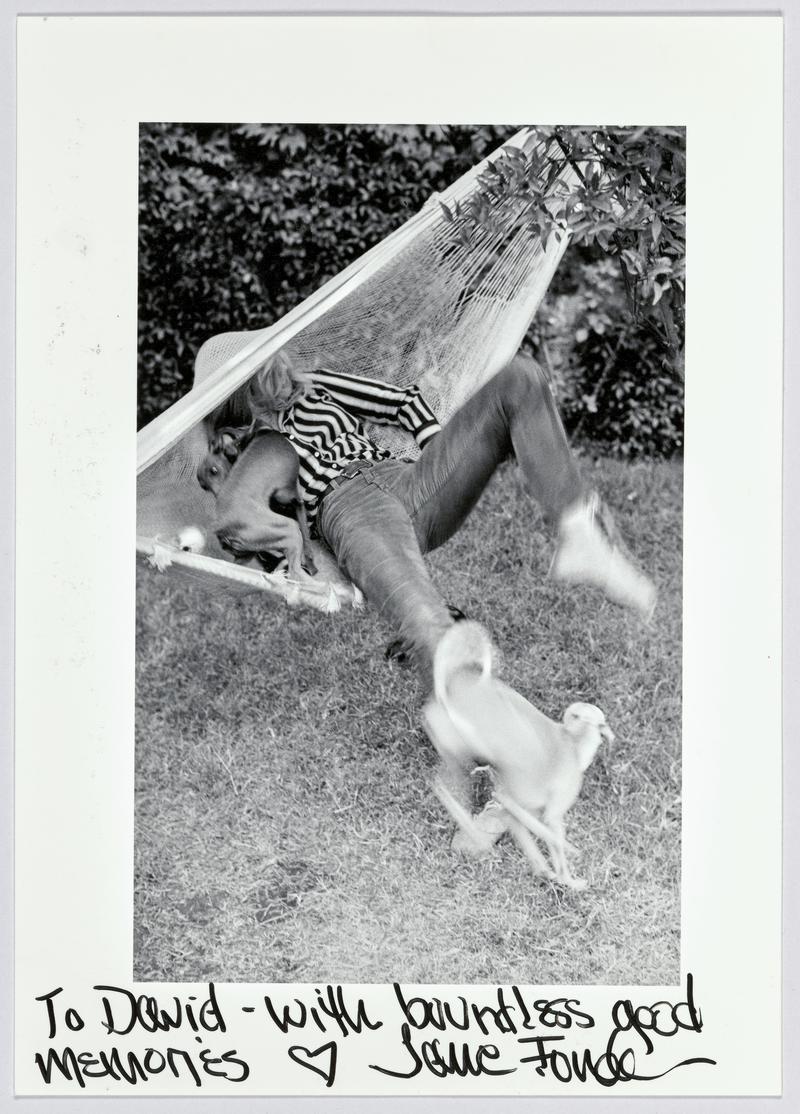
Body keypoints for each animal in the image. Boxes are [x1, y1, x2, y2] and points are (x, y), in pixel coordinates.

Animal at [205, 430, 318, 579]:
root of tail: (222, 526)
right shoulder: (292, 496)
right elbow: (304, 524)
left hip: (247, 553)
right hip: (290, 530)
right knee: (295, 573)